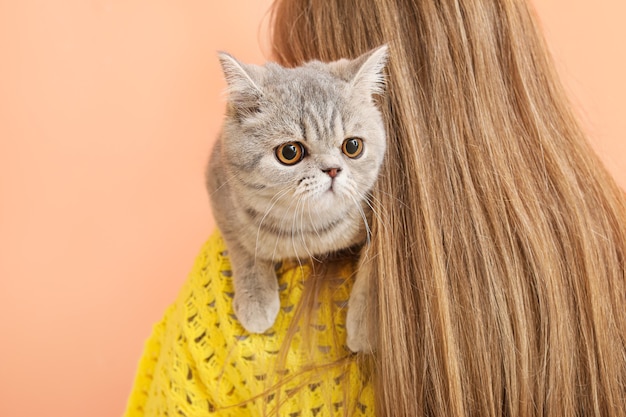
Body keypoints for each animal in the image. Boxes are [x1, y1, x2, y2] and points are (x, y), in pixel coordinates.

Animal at [207, 44, 388, 352]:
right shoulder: (218, 186)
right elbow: (242, 244)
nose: (332, 169)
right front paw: (256, 297)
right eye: (290, 152)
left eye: (352, 146)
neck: (311, 232)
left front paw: (364, 322)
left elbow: (374, 262)